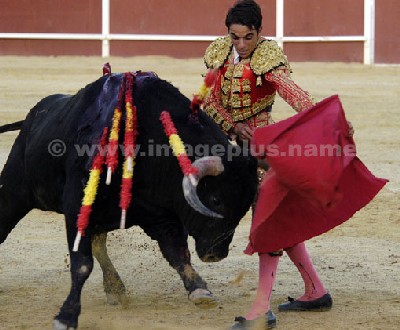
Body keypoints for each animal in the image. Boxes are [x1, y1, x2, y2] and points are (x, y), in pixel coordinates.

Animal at [0, 68, 258, 328]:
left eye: (245, 208)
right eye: (216, 200)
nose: (216, 254)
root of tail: (33, 117)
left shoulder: (161, 214)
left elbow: (176, 252)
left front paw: (199, 289)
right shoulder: (77, 207)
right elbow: (82, 264)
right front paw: (67, 316)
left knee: (99, 244)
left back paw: (115, 287)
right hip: (14, 190)